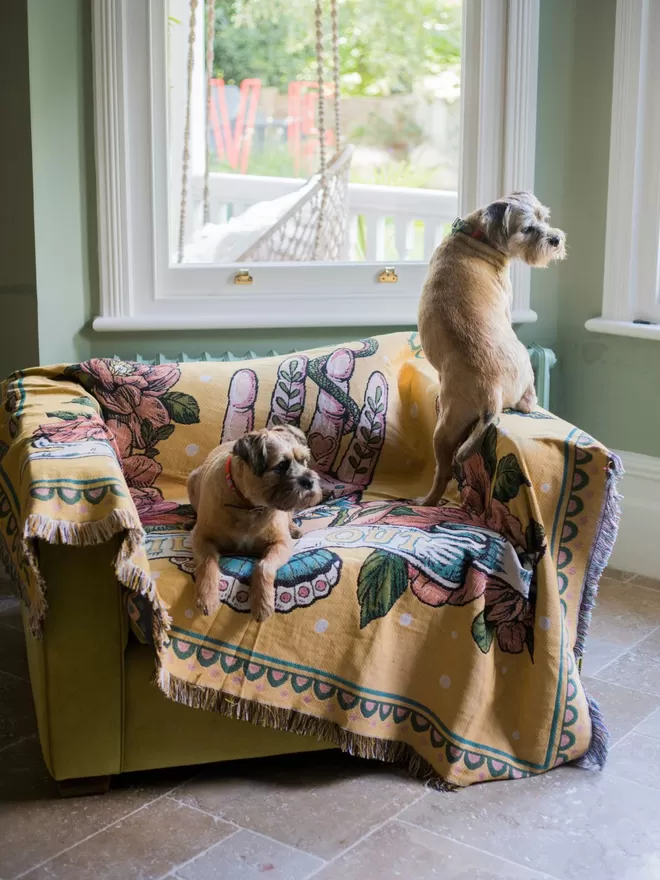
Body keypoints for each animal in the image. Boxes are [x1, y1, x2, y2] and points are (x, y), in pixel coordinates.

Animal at [187, 424, 320, 620]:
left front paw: (262, 603)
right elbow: (207, 562)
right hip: (192, 479)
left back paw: (294, 528)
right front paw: (206, 596)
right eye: (281, 465)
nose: (310, 481)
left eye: (304, 460)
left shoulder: (281, 543)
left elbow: (264, 566)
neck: (250, 506)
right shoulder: (201, 538)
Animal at [420, 191, 564, 508]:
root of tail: (492, 389)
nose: (555, 239)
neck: (477, 237)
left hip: (445, 427)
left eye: (543, 217)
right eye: (527, 228)